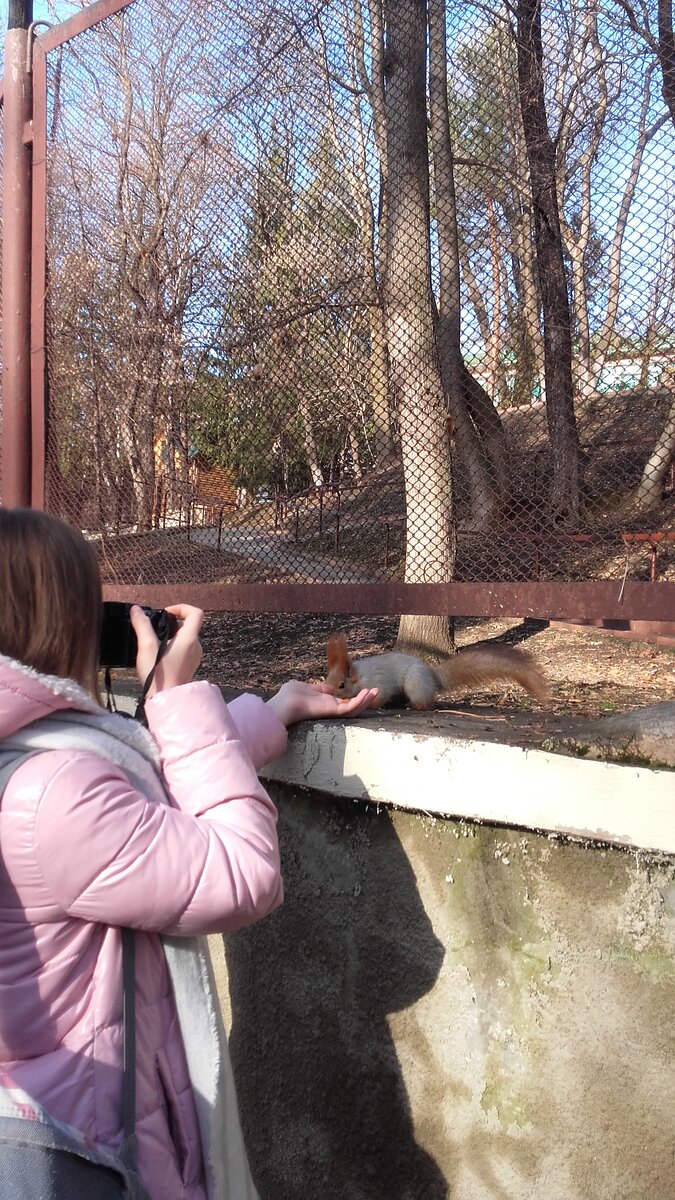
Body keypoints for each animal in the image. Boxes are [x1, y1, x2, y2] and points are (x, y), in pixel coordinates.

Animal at [324, 633, 547, 705]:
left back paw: (415, 706)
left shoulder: (378, 684)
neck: (359, 678)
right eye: (326, 679)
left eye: (341, 685)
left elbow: (378, 698)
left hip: (415, 685)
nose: (328, 691)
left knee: (425, 703)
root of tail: (432, 676)